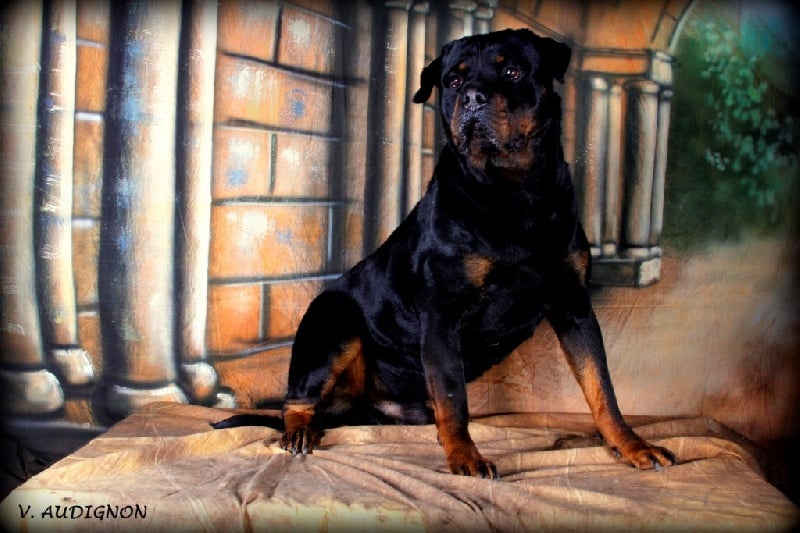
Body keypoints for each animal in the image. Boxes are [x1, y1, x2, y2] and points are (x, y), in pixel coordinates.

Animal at [213, 28, 675, 479]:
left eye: (512, 71)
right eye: (453, 80)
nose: (472, 97)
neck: (515, 193)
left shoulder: (574, 306)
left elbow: (601, 386)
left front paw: (631, 445)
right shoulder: (442, 313)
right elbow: (453, 396)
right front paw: (464, 456)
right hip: (332, 322)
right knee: (296, 400)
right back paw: (300, 431)